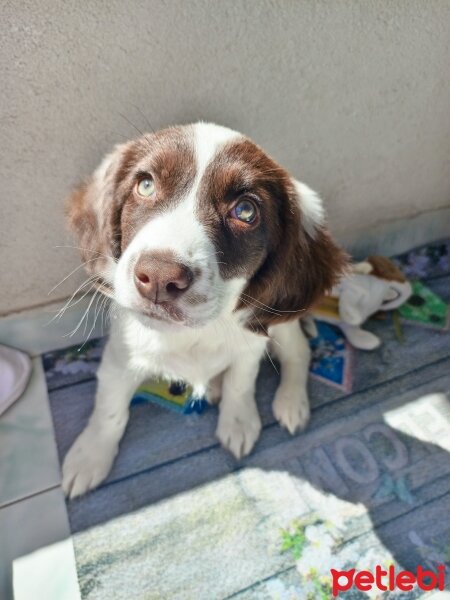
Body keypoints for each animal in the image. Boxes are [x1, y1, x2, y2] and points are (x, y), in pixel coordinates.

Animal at [61, 122, 346, 496]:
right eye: (146, 185)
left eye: (245, 211)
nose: (159, 277)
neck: (192, 333)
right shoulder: (121, 359)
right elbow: (110, 409)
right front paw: (90, 456)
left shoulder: (251, 345)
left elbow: (241, 382)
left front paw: (238, 422)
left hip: (279, 325)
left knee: (298, 352)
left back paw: (290, 403)